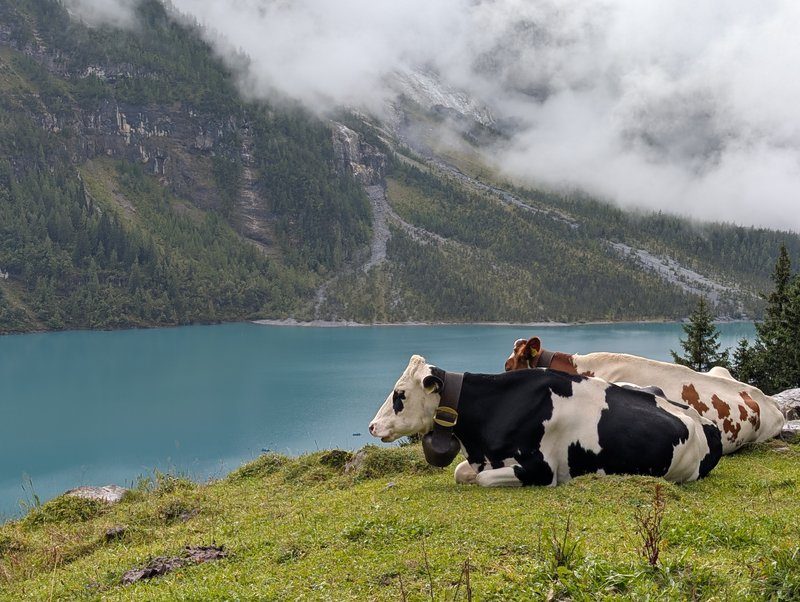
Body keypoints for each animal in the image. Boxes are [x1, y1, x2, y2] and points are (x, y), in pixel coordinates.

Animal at [369, 355, 722, 487]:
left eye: (400, 394)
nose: (372, 426)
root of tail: (702, 419)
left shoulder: (541, 469)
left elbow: (482, 479)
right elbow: (461, 472)